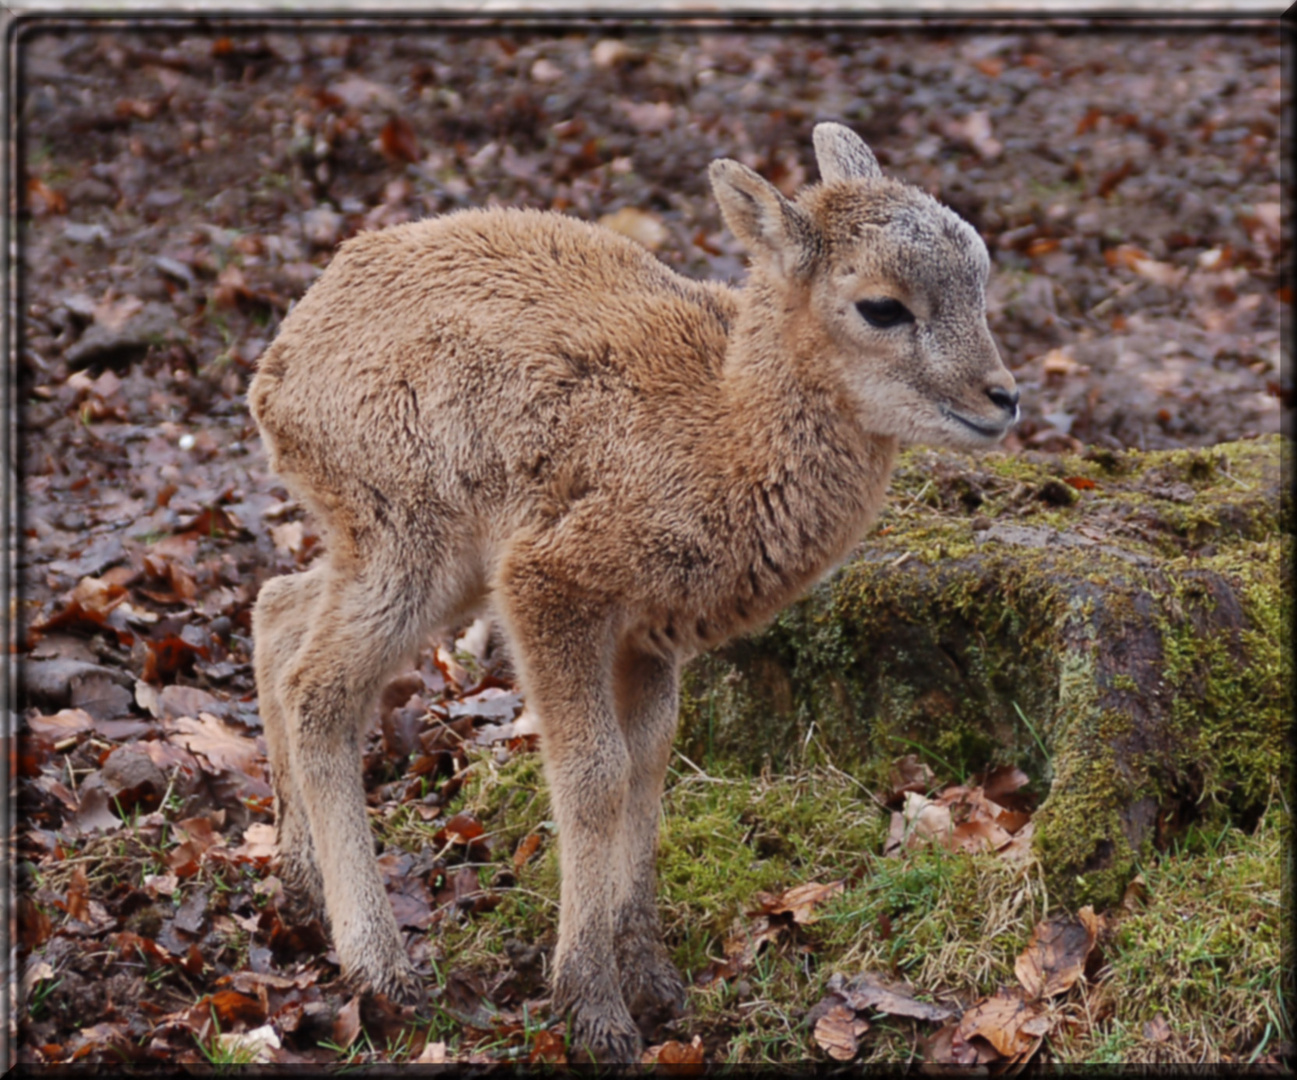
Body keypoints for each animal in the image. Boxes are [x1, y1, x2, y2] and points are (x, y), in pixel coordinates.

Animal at [247, 121, 1016, 1057]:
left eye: (979, 277)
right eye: (881, 306)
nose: (1002, 398)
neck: (717, 432)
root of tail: (281, 359)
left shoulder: (649, 632)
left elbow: (650, 764)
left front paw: (649, 974)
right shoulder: (548, 583)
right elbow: (593, 773)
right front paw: (592, 1006)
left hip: (408, 554)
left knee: (278, 612)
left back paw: (297, 887)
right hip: (409, 538)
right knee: (318, 689)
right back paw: (381, 967)